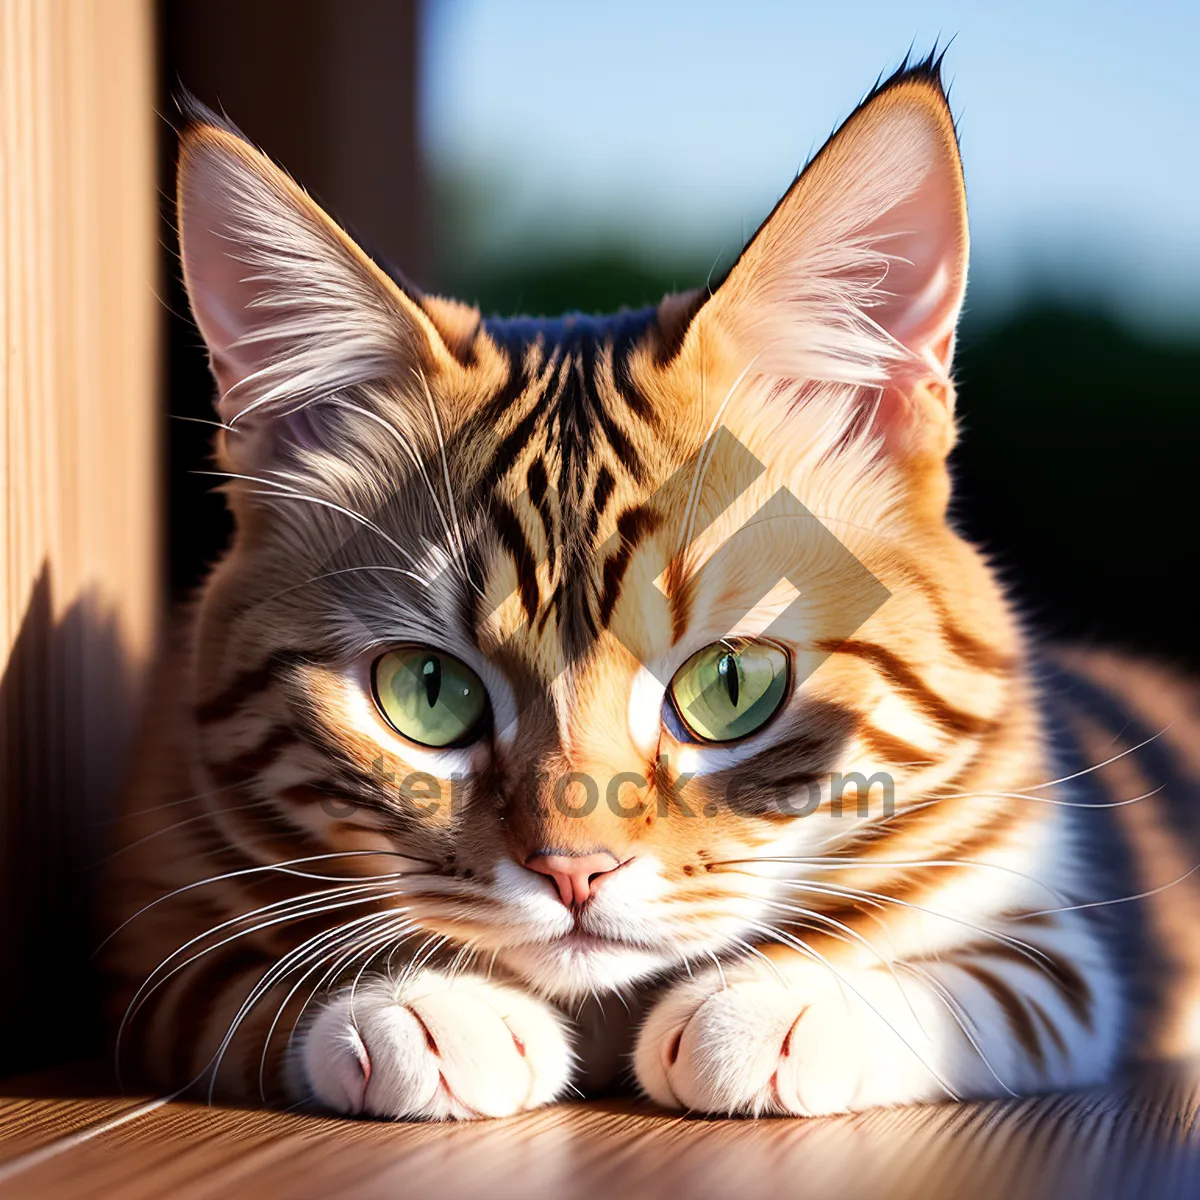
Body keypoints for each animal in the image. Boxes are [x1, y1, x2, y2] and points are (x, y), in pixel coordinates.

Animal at [103, 54, 1200, 1123]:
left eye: (732, 685)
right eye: (427, 691)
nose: (573, 871)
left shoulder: (1052, 924)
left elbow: (982, 983)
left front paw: (782, 1003)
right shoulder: (154, 939)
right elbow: (254, 975)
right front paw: (425, 1004)